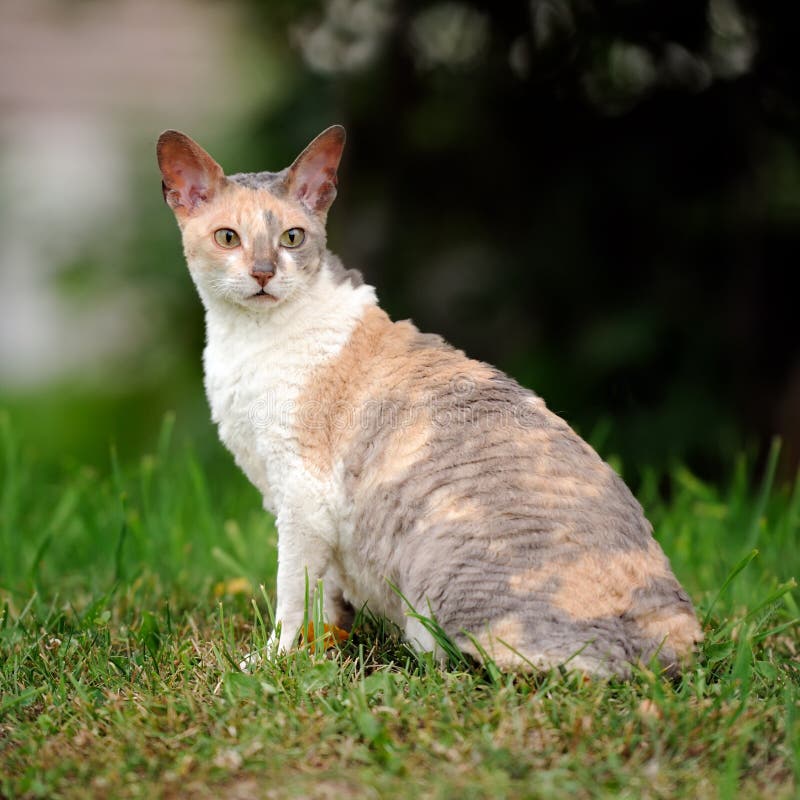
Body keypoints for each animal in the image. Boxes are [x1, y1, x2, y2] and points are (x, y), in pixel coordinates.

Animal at [156, 125, 700, 676]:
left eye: (292, 238)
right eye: (228, 237)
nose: (264, 272)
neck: (242, 340)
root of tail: (666, 639)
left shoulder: (302, 496)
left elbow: (292, 593)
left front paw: (273, 662)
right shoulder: (295, 503)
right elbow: (323, 596)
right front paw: (320, 647)